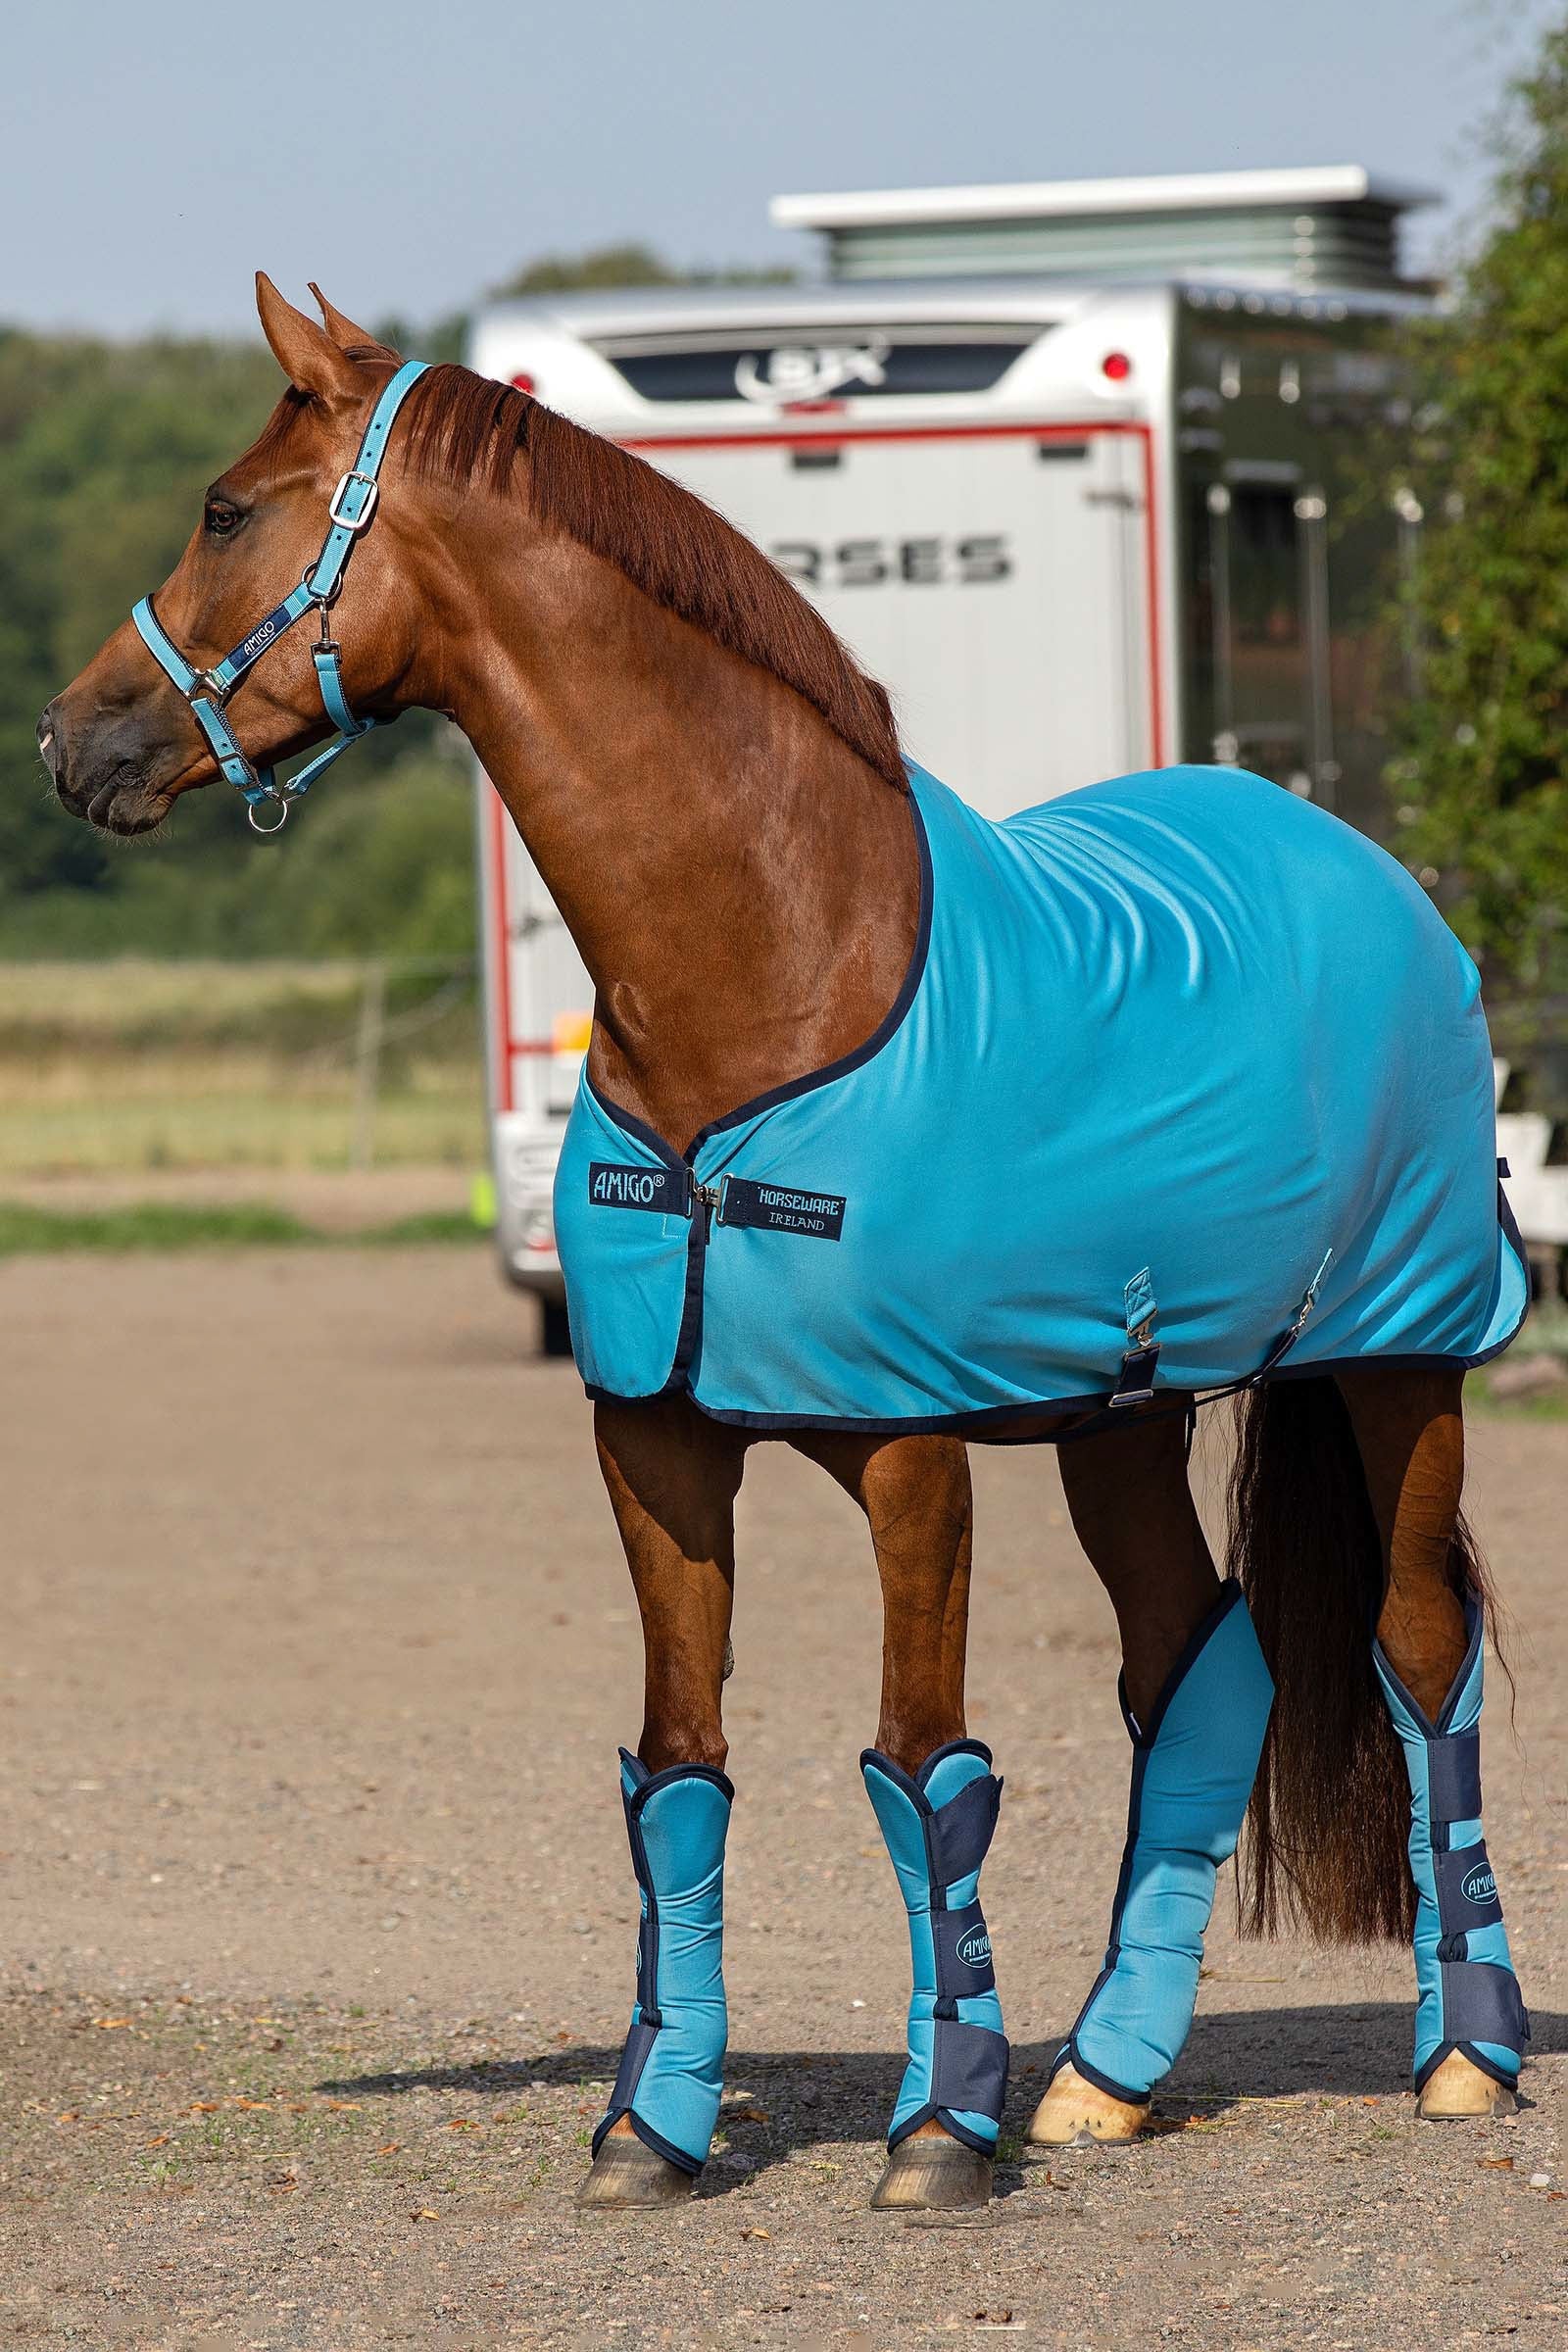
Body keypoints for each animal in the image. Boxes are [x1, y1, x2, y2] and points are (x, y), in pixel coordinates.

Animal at [39, 278, 1530, 2214]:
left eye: (226, 509)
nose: (73, 744)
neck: (770, 966)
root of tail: (1364, 868)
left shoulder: (913, 1457)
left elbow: (923, 1766)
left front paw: (938, 2132)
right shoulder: (658, 1445)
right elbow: (680, 1773)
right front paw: (650, 2127)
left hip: (1400, 1361)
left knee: (1421, 1658)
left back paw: (1463, 2058)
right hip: (1119, 1416)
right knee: (1196, 1665)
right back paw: (1103, 2082)